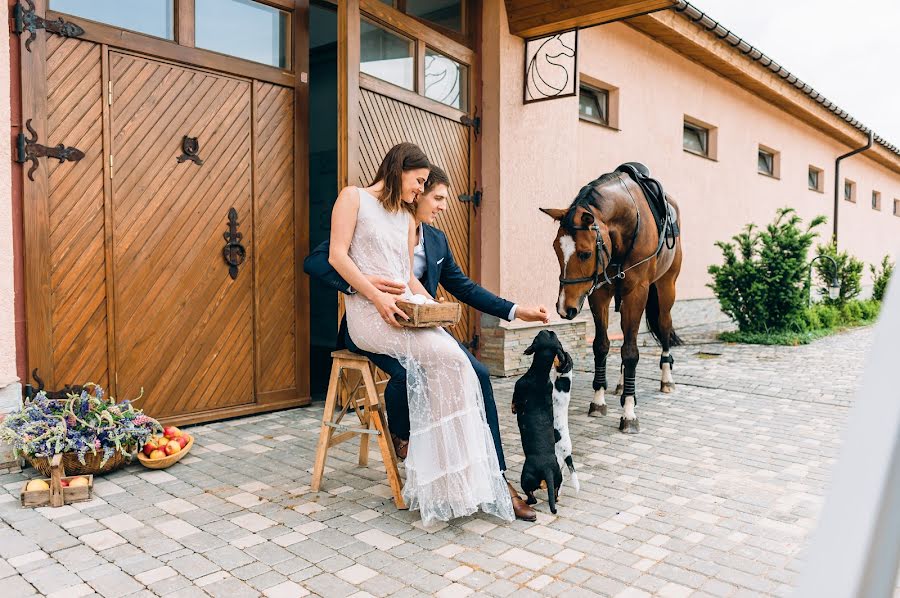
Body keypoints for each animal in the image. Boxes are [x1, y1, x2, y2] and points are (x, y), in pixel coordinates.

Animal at [540, 166, 684, 434]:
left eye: (585, 253)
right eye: (556, 249)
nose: (564, 308)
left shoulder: (637, 291)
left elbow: (631, 352)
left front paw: (628, 412)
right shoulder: (600, 293)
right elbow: (602, 345)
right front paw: (599, 400)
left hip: (666, 286)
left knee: (664, 326)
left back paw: (666, 379)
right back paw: (621, 384)